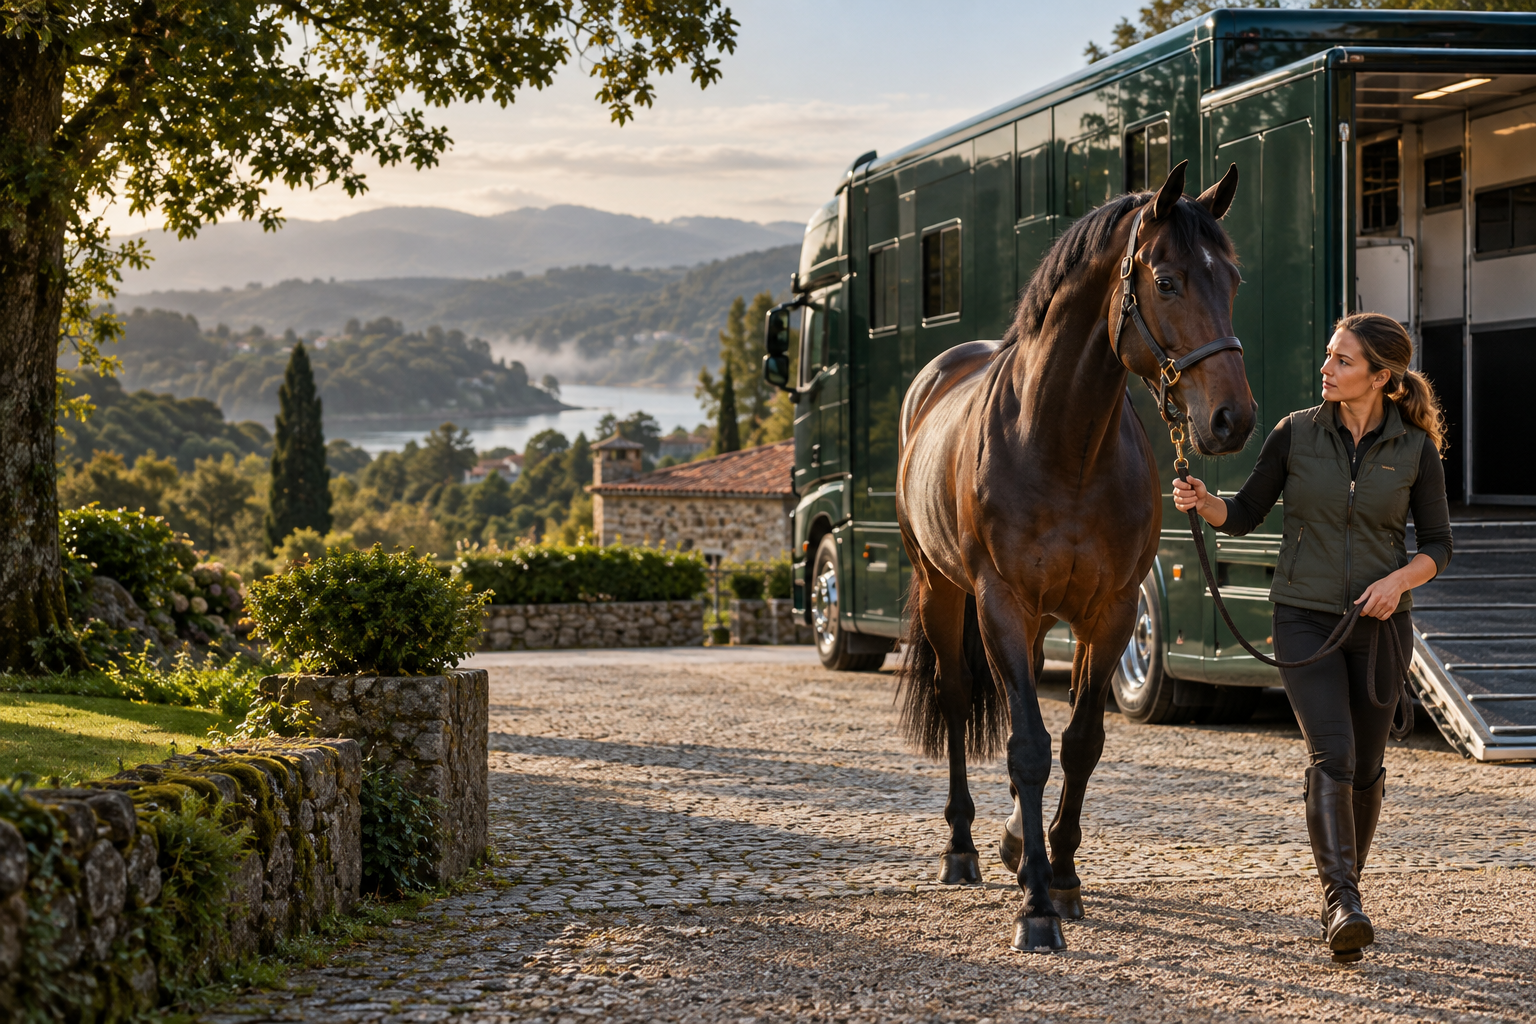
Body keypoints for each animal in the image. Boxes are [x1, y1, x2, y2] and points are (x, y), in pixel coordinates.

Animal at [895, 161, 1254, 951]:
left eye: (1234, 279)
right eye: (1166, 280)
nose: (1232, 419)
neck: (1061, 444)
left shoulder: (1111, 611)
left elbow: (1081, 741)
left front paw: (1059, 873)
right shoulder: (1000, 602)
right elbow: (1029, 746)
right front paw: (1035, 907)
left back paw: (1010, 842)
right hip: (943, 591)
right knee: (961, 702)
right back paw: (963, 849)